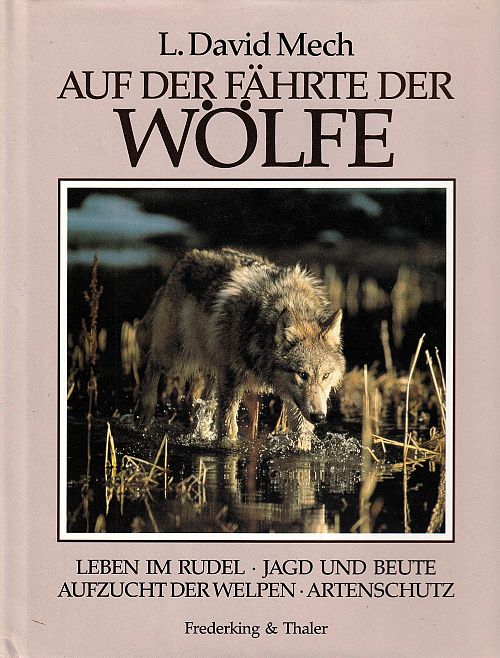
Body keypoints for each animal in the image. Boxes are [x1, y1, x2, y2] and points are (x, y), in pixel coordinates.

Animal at [135, 248, 345, 445]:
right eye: (302, 374)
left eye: (326, 375)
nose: (319, 416)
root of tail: (186, 258)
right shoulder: (231, 377)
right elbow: (228, 427)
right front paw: (228, 446)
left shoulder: (295, 402)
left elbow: (302, 435)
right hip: (177, 357)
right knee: (152, 364)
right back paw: (144, 413)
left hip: (211, 370)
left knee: (199, 403)